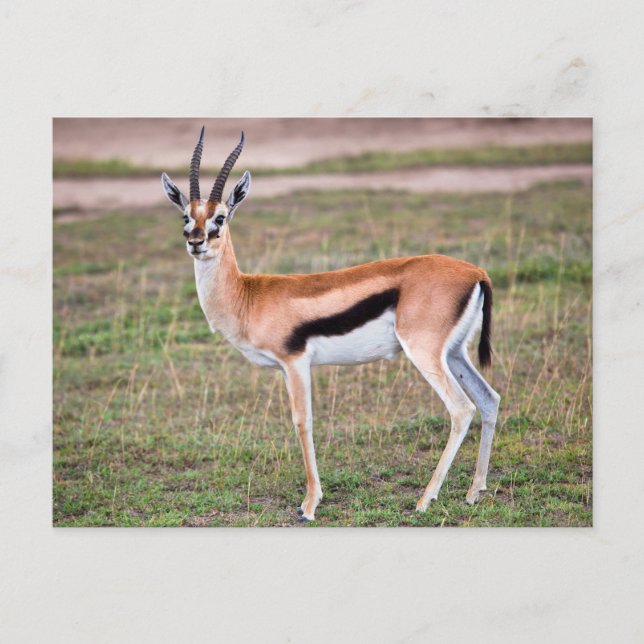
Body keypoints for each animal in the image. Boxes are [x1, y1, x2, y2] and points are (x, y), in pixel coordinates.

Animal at [161, 127, 501, 523]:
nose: (196, 241)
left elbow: (302, 422)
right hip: (455, 353)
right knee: (489, 399)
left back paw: (424, 500)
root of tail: (476, 272)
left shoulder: (295, 363)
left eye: (221, 217)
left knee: (461, 409)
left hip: (424, 352)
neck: (249, 295)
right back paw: (474, 493)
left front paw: (309, 505)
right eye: (186, 216)